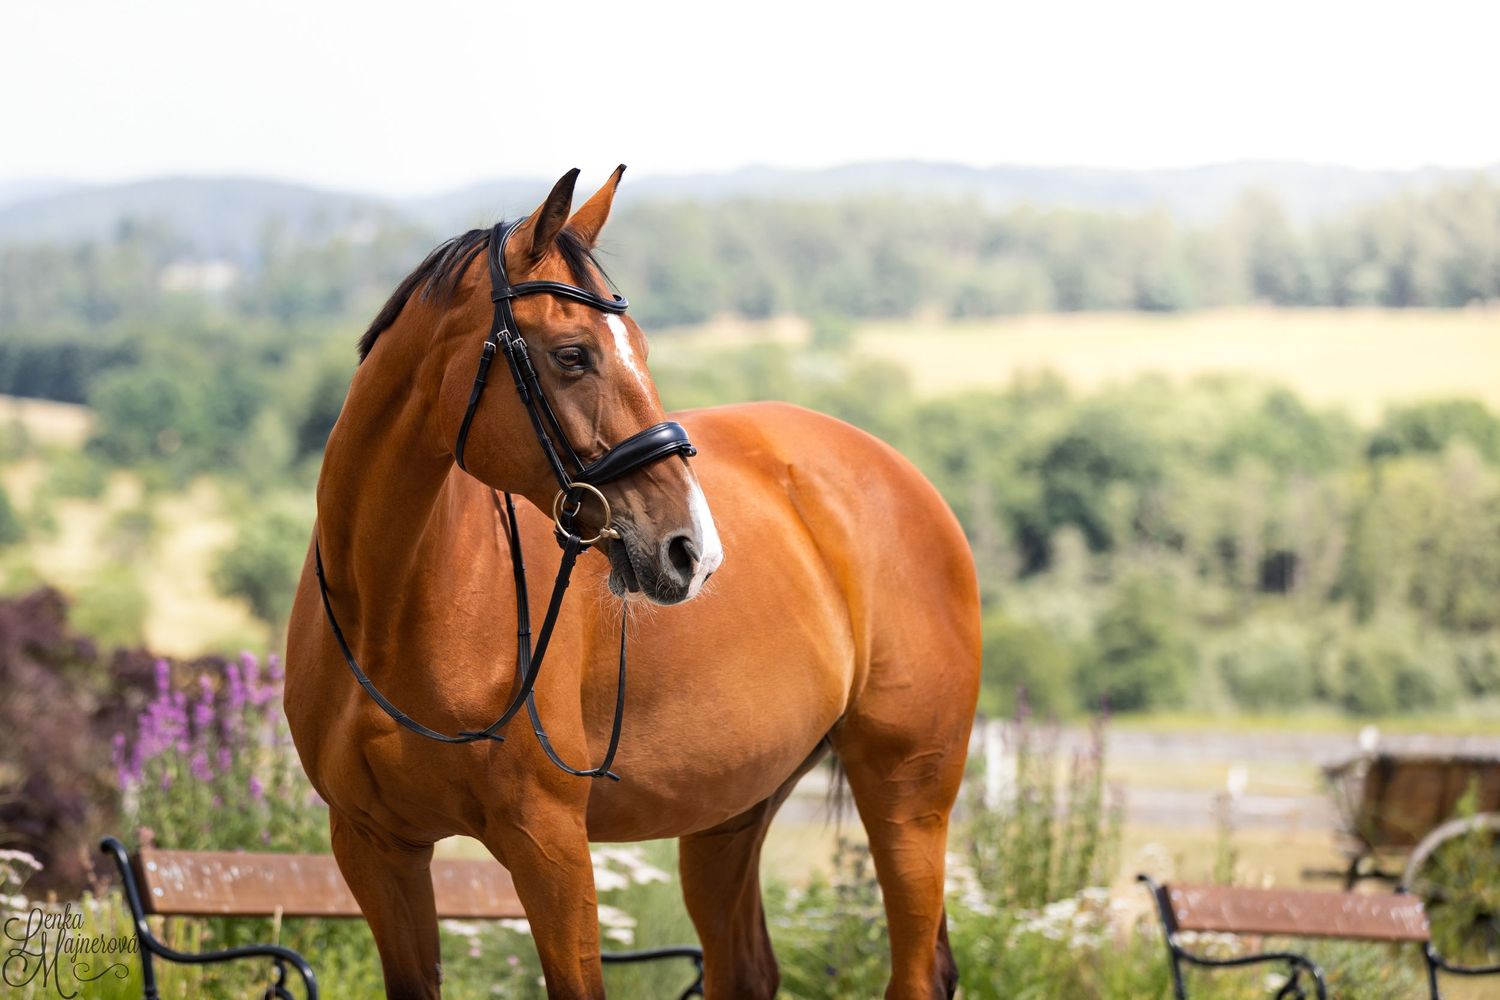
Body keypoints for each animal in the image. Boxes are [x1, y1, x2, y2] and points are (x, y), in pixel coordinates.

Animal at [284, 166, 980, 1000]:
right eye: (573, 354)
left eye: (638, 345)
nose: (693, 551)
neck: (392, 609)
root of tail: (904, 477)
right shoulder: (374, 849)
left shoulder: (549, 844)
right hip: (731, 809)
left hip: (909, 797)